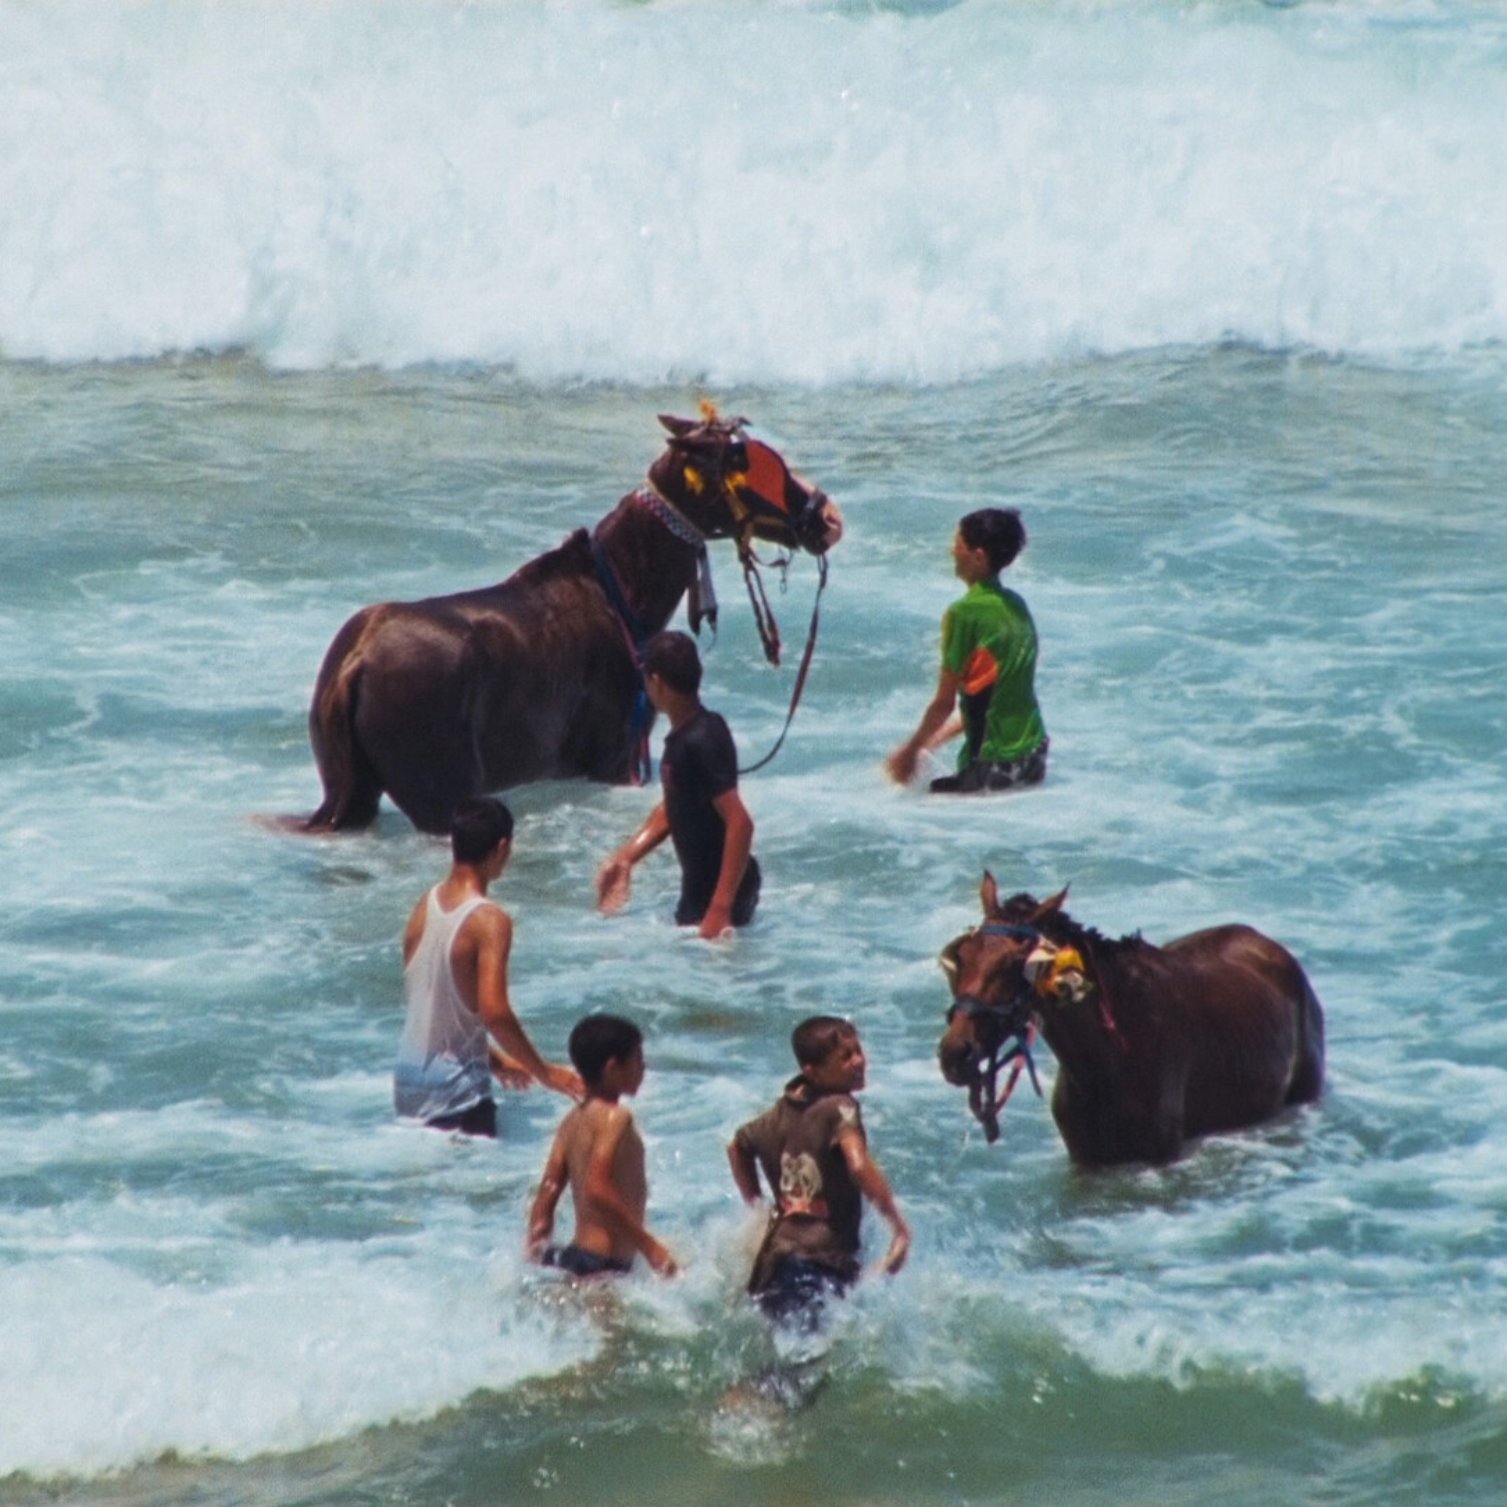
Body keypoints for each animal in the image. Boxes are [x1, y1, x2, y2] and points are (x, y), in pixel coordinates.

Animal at [299, 411, 843, 834]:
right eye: (744, 463)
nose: (829, 519)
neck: (625, 592)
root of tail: (354, 666)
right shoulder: (612, 757)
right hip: (439, 791)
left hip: (352, 792)